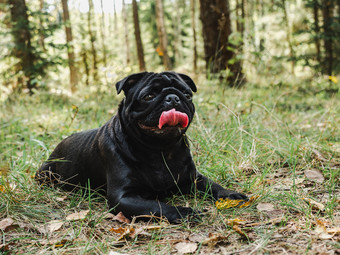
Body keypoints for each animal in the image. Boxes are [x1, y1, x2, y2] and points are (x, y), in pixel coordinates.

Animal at [36, 71, 247, 223]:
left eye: (187, 94)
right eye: (149, 96)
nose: (173, 97)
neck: (160, 150)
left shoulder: (193, 179)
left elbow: (213, 185)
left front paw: (230, 194)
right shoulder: (123, 197)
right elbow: (157, 206)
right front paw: (183, 212)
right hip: (45, 174)